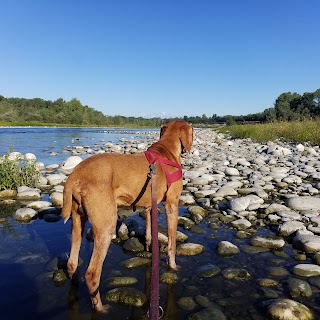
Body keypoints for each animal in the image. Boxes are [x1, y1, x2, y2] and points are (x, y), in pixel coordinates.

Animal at [61, 120, 194, 312]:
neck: (166, 150)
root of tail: (75, 175)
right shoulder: (172, 204)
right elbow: (172, 244)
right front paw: (173, 266)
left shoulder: (149, 206)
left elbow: (149, 234)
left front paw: (149, 249)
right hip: (106, 226)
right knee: (92, 273)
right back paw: (100, 308)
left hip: (77, 220)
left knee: (71, 263)